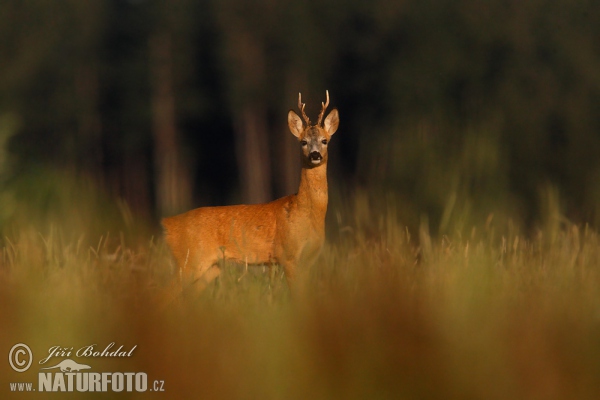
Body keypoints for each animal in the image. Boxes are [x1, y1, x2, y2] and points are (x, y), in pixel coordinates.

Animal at [161, 90, 338, 292]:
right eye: (303, 142)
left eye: (325, 140)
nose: (315, 155)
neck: (304, 211)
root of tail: (169, 224)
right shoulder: (288, 255)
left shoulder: (308, 259)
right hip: (190, 261)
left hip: (210, 267)